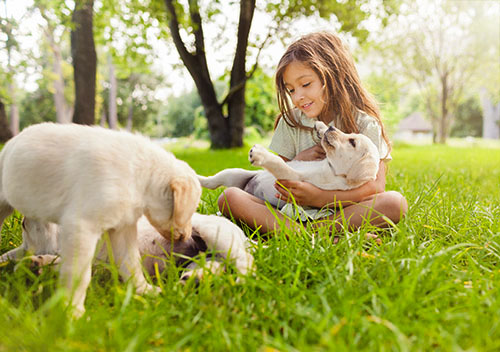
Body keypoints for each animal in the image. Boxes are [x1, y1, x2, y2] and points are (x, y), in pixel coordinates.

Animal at [0, 123, 201, 316]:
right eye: (191, 211)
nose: (190, 237)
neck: (141, 176)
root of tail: (10, 143)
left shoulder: (122, 228)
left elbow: (132, 264)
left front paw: (145, 291)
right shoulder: (81, 226)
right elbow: (79, 274)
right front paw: (72, 310)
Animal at [199, 121, 378, 209]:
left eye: (352, 142)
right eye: (350, 134)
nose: (332, 127)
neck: (331, 167)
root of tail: (246, 188)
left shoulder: (293, 179)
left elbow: (279, 163)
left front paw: (260, 154)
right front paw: (321, 126)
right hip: (234, 173)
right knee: (211, 181)